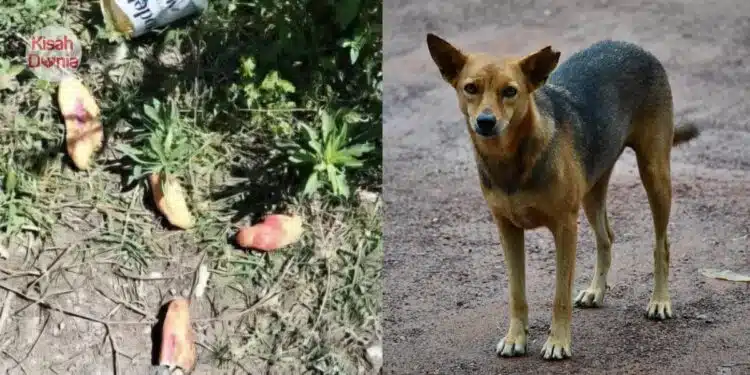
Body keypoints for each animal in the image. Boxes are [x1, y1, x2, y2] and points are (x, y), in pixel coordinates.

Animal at [426, 35, 704, 362]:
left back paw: (660, 301)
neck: (511, 159)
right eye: (471, 88)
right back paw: (596, 291)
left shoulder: (565, 228)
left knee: (662, 244)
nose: (485, 121)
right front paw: (515, 338)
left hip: (654, 174)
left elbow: (560, 296)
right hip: (592, 191)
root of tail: (632, 46)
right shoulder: (507, 228)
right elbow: (516, 293)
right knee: (606, 238)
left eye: (510, 91)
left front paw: (558, 342)